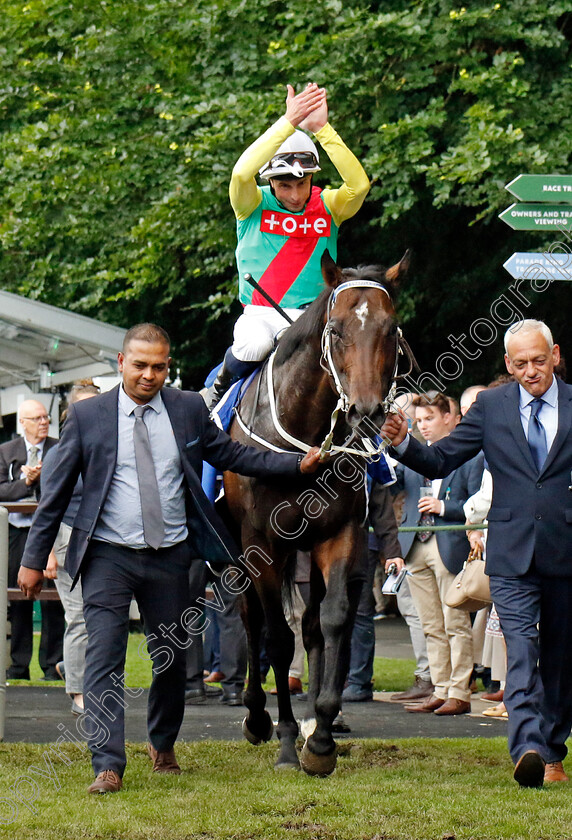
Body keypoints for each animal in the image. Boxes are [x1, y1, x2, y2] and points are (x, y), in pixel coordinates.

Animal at [221, 249, 408, 776]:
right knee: (251, 619)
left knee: (309, 626)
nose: (367, 411)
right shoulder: (262, 546)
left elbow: (334, 620)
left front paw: (320, 737)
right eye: (338, 329)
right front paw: (286, 742)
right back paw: (257, 717)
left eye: (391, 329)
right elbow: (277, 639)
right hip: (236, 549)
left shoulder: (338, 534)